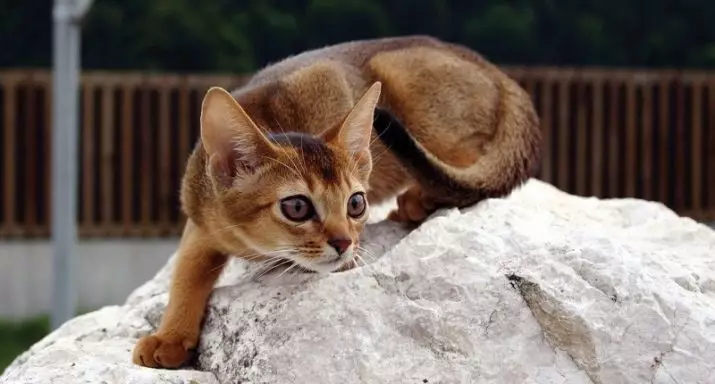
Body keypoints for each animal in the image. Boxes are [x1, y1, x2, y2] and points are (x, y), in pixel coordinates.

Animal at [131, 36, 540, 368]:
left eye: (356, 203)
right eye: (297, 207)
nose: (343, 243)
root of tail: (496, 70)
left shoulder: (328, 78)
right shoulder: (201, 219)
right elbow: (186, 273)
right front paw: (168, 337)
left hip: (402, 79)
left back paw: (419, 198)